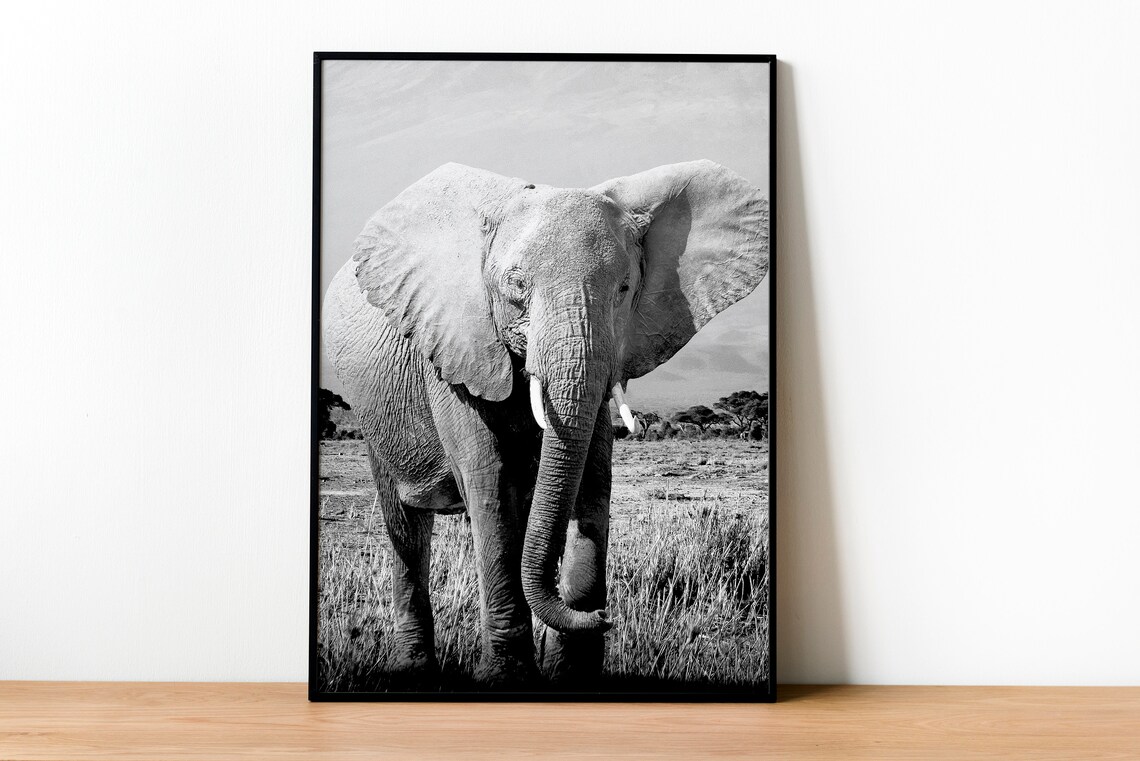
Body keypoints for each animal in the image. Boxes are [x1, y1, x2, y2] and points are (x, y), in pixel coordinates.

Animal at [322, 160, 769, 688]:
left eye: (624, 289)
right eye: (516, 287)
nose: (607, 616)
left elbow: (592, 480)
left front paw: (572, 677)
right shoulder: (454, 346)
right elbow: (490, 484)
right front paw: (506, 681)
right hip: (373, 414)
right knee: (407, 526)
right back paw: (413, 675)